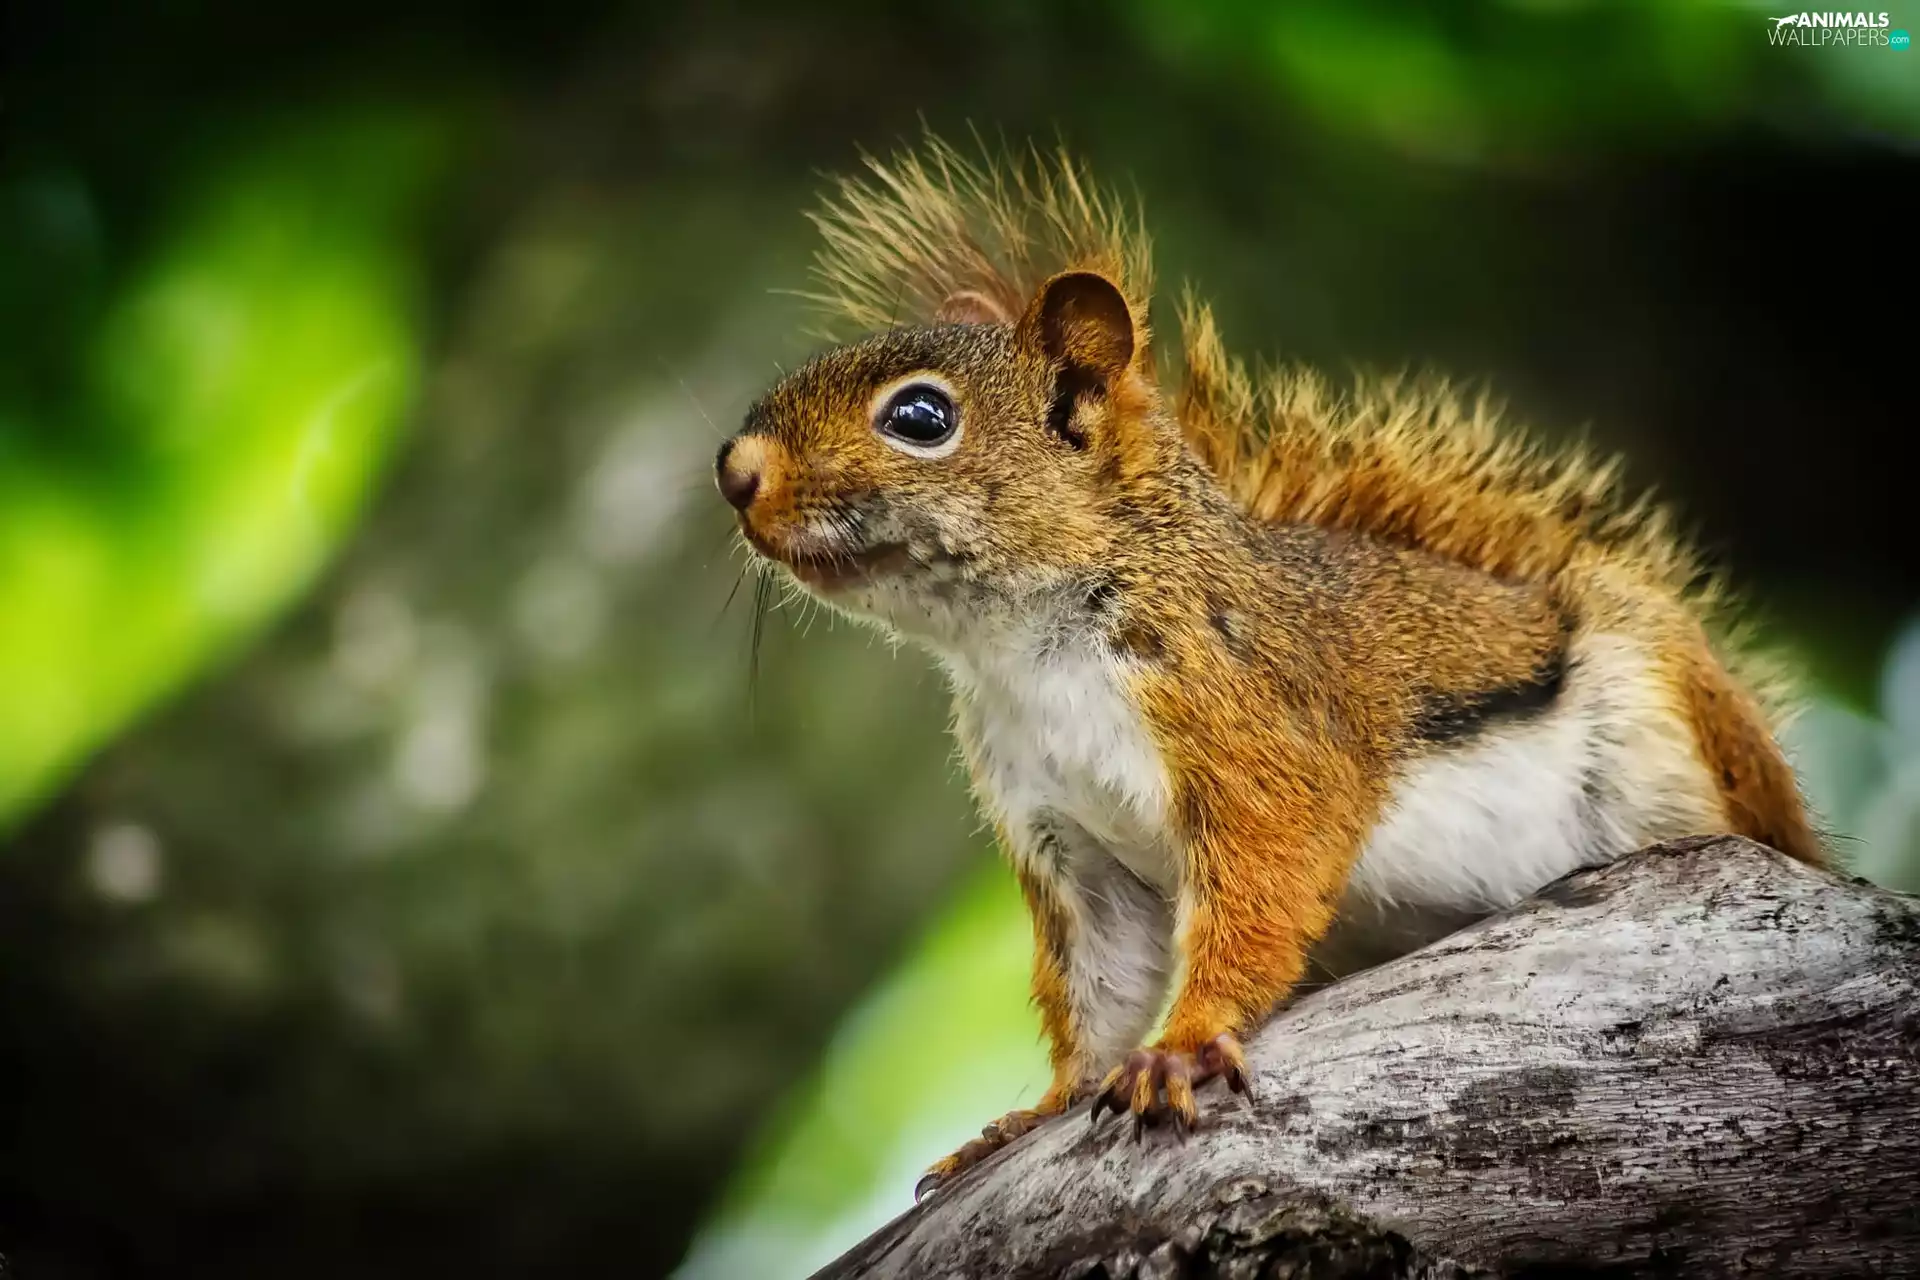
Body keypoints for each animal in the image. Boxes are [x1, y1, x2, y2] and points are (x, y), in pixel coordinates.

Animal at [713, 136, 1825, 1199]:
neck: (1025, 648)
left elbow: (1259, 892)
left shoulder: (1255, 730)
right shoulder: (1065, 840)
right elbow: (1098, 987)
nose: (734, 471)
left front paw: (1186, 1044)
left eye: (919, 418)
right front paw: (1035, 1112)